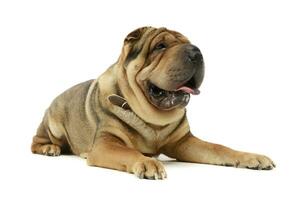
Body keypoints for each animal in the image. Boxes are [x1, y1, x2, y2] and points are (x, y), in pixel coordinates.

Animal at [31, 26, 276, 180]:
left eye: (189, 43)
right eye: (160, 46)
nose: (196, 52)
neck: (152, 118)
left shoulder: (183, 142)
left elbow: (218, 148)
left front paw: (251, 157)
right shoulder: (105, 145)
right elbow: (129, 153)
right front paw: (148, 163)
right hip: (53, 125)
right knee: (37, 141)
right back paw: (49, 148)